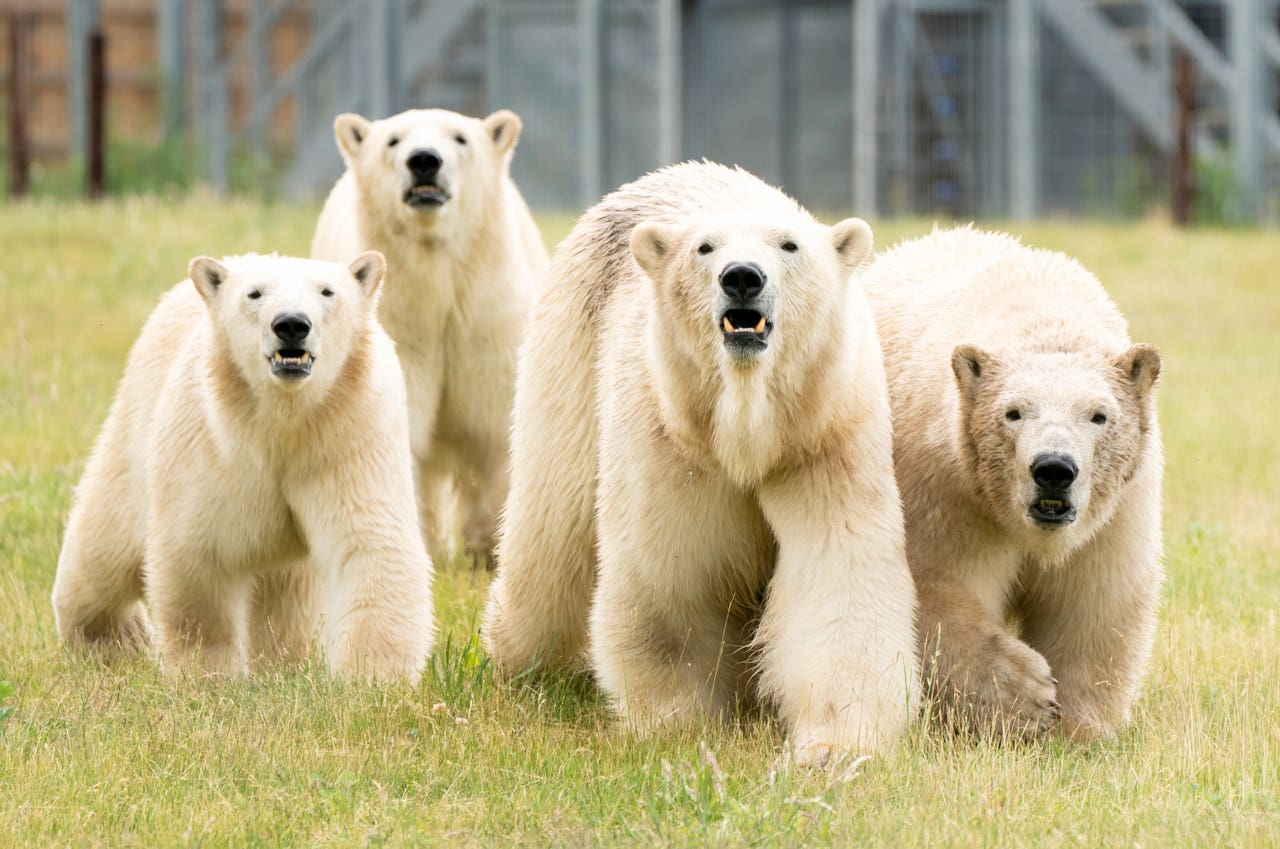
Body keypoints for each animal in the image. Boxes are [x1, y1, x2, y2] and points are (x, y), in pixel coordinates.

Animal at [51, 252, 435, 686]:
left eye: (327, 291)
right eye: (254, 293)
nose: (291, 324)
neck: (285, 421)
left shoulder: (350, 435)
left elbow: (370, 542)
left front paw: (370, 677)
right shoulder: (212, 445)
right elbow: (199, 549)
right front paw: (206, 673)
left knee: (286, 590)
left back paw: (282, 662)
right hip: (136, 424)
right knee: (106, 546)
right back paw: (113, 639)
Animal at [314, 108, 550, 571]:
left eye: (460, 138)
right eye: (392, 141)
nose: (424, 159)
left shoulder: (487, 321)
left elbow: (495, 424)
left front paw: (485, 551)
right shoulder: (401, 326)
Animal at [481, 162, 921, 768]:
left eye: (790, 245)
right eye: (704, 248)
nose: (742, 277)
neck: (749, 429)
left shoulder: (826, 439)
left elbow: (839, 577)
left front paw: (831, 749)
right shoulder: (672, 442)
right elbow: (671, 577)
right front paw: (681, 724)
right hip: (569, 352)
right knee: (552, 534)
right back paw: (516, 659)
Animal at [865, 227, 1167, 742]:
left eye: (1098, 415)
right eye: (1013, 412)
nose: (1054, 469)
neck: (1041, 311)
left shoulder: (1117, 513)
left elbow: (1093, 604)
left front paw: (1082, 730)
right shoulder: (946, 486)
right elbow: (932, 586)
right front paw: (1026, 697)